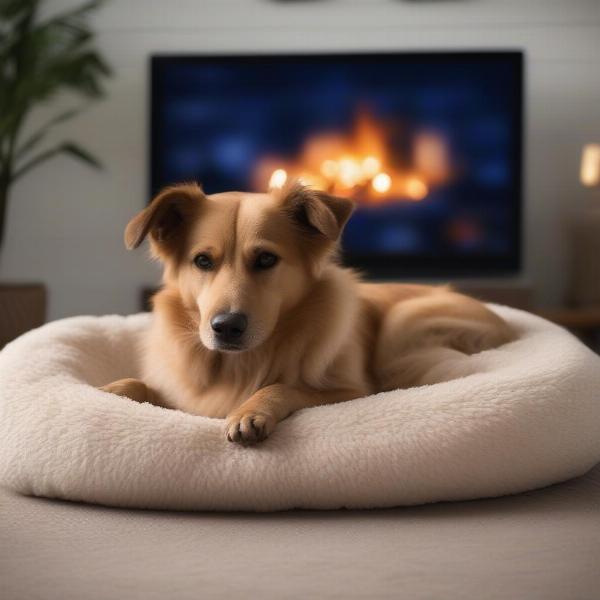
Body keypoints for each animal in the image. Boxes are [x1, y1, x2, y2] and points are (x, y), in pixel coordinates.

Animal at [101, 183, 512, 446]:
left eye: (266, 259)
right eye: (202, 261)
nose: (226, 327)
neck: (238, 366)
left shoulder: (353, 392)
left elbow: (284, 386)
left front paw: (251, 411)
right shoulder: (182, 398)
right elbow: (138, 385)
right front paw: (111, 392)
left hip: (404, 324)